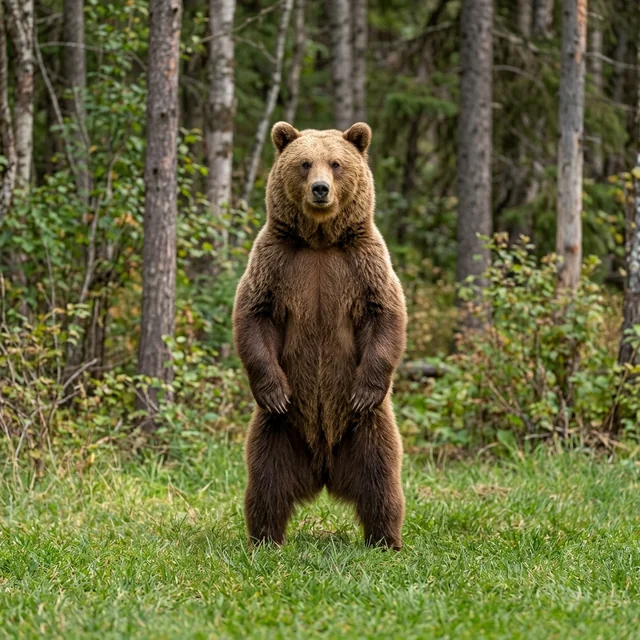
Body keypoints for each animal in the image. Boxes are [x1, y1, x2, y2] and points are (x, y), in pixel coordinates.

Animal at [233, 121, 407, 549]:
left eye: (337, 163)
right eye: (305, 163)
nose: (321, 189)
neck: (320, 240)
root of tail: (324, 468)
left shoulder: (364, 262)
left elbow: (386, 313)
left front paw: (365, 389)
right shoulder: (275, 261)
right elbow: (253, 315)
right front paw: (274, 391)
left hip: (368, 427)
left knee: (381, 477)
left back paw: (386, 539)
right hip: (277, 430)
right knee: (267, 479)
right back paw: (265, 537)